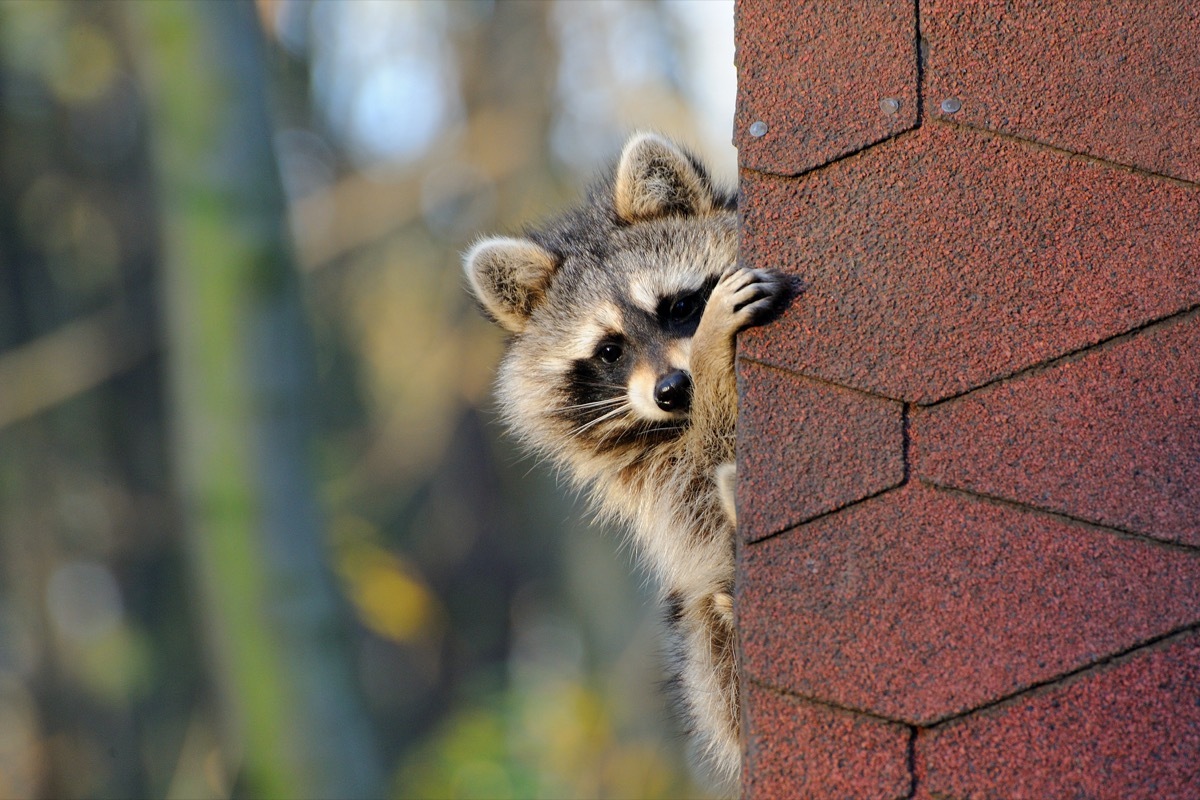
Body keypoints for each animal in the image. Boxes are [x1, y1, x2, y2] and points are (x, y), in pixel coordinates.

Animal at [460, 131, 787, 786]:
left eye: (679, 307)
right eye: (609, 350)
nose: (675, 388)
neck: (675, 422)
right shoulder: (651, 481)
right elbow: (697, 491)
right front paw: (713, 361)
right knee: (706, 638)